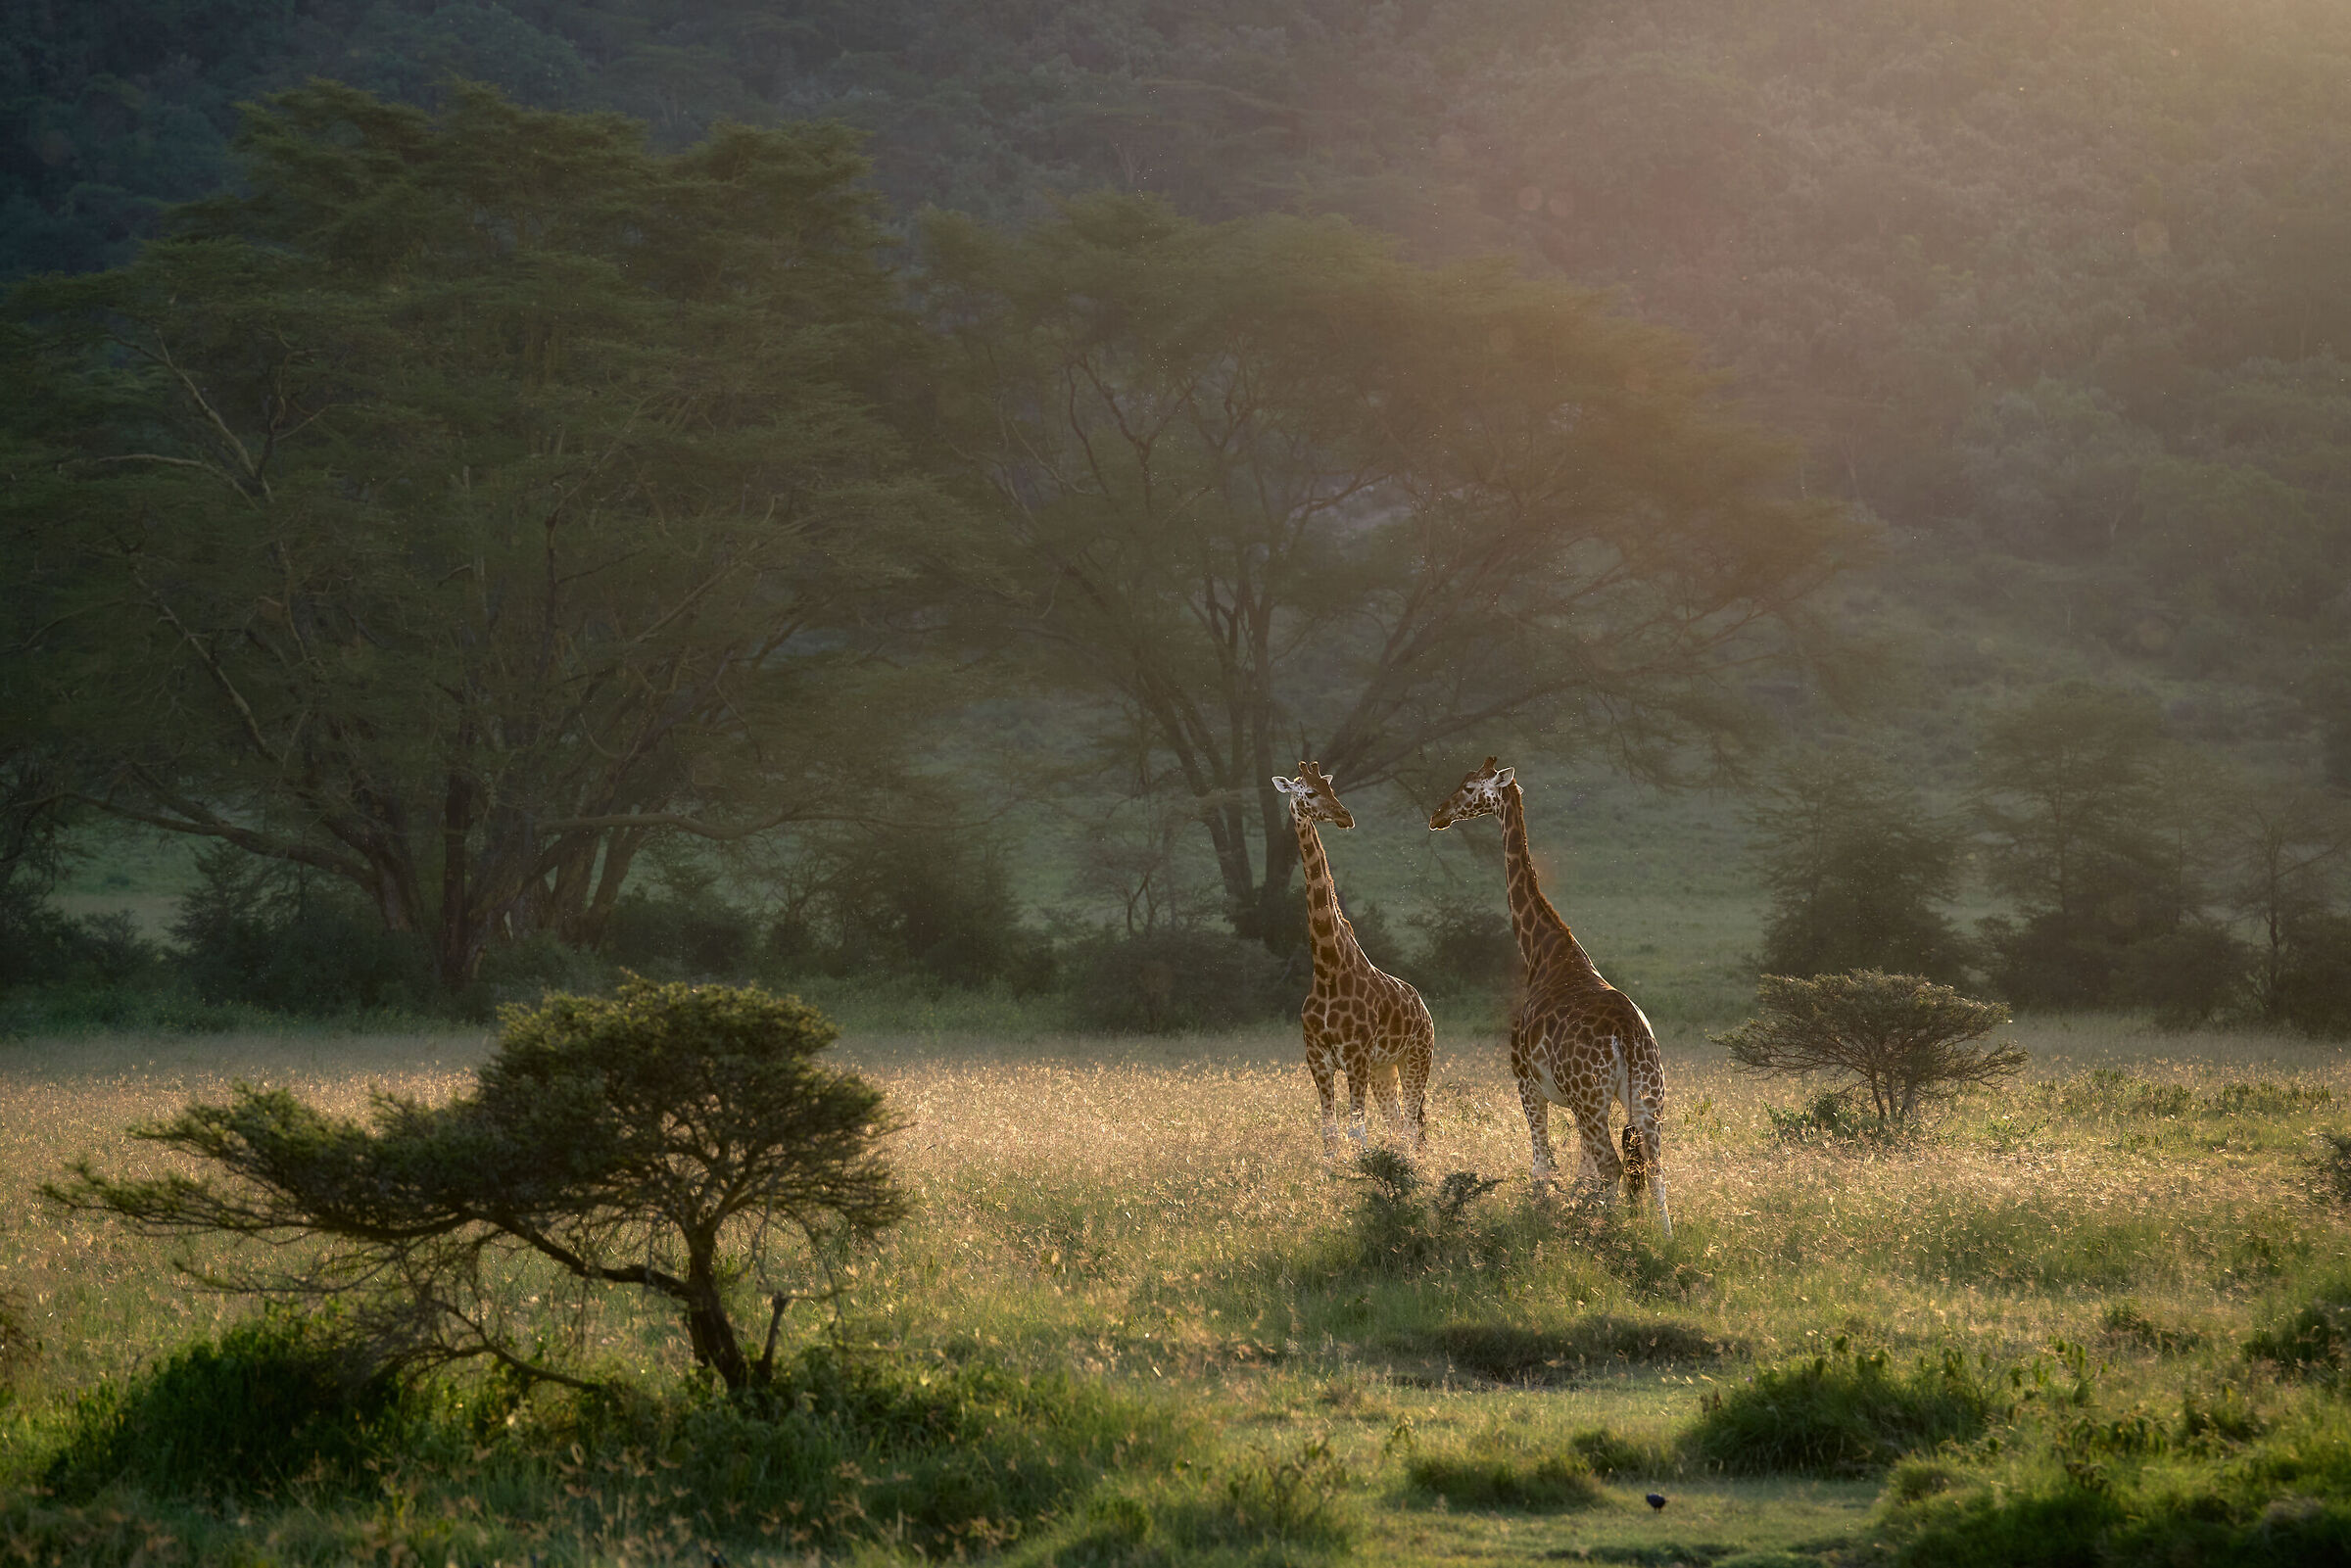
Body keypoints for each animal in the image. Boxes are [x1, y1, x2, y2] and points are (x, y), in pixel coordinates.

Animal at [1274, 761, 1436, 1159]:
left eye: (1330, 789)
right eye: (1309, 793)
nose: (1344, 816)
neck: (1328, 967)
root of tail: (1425, 1010)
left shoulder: (1356, 1056)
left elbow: (1356, 1132)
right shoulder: (1317, 1058)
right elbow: (1330, 1134)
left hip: (1416, 1059)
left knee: (1412, 1126)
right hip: (1385, 1069)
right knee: (1398, 1124)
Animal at [1428, 758, 1672, 1233]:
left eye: (1468, 787)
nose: (1438, 815)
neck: (1542, 951)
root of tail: (1628, 1036)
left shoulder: (1526, 1083)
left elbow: (1542, 1166)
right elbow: (1580, 1171)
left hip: (1590, 1098)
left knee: (1614, 1165)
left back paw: (1607, 1235)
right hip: (1644, 1097)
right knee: (1652, 1166)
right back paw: (1663, 1236)